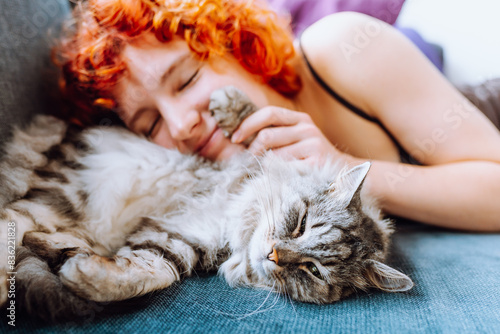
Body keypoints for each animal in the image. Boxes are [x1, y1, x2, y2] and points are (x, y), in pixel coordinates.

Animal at [0, 87, 412, 324]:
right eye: (301, 223)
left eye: (312, 270)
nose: (274, 255)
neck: (238, 229)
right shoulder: (256, 158)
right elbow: (257, 125)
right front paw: (227, 103)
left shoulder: (185, 240)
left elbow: (151, 270)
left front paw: (86, 276)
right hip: (60, 192)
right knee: (13, 223)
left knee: (38, 240)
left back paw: (60, 253)